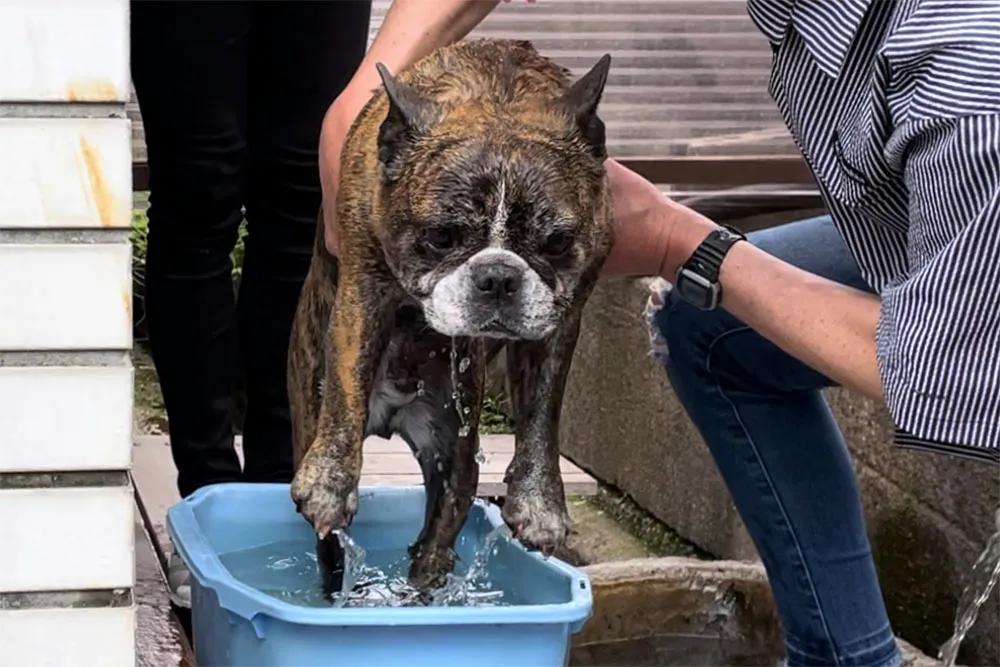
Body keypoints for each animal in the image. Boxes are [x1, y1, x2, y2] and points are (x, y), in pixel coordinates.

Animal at [286, 39, 612, 596]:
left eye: (556, 243)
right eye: (440, 237)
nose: (498, 276)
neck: (497, 99)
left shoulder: (563, 315)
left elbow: (544, 407)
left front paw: (539, 505)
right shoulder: (362, 286)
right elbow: (349, 381)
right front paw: (330, 482)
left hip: (454, 447)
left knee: (440, 529)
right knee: (331, 545)